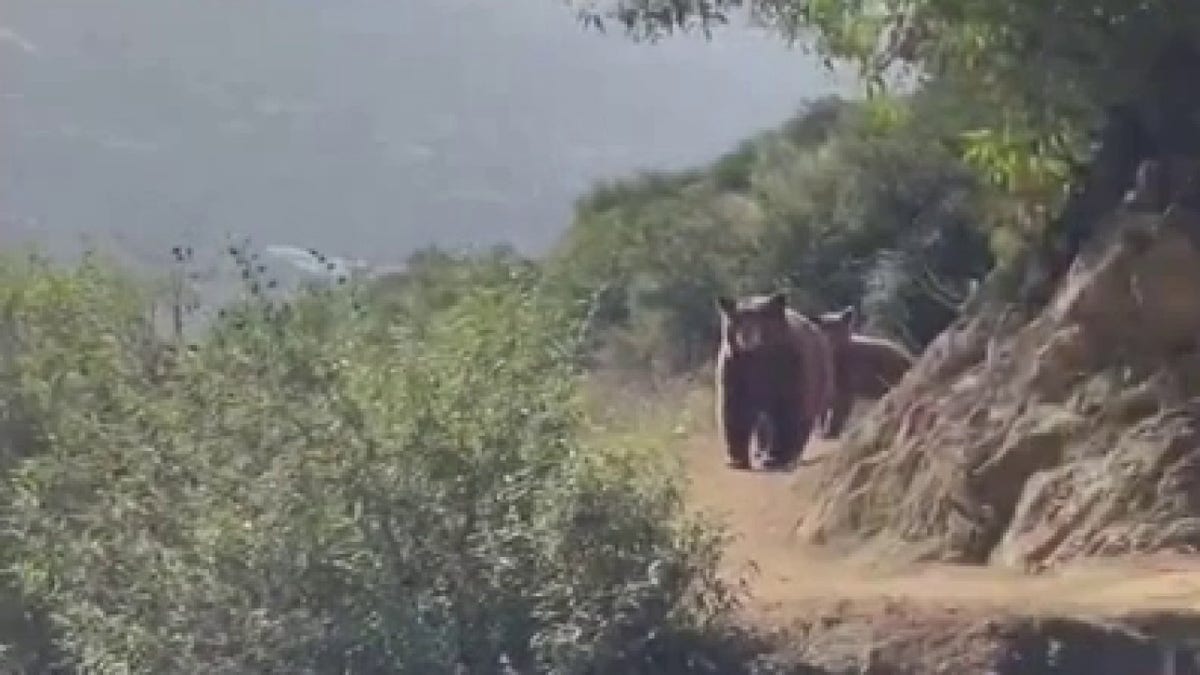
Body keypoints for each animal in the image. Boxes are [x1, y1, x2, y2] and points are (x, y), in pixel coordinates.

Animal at [710, 291, 835, 470]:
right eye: (738, 320)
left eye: (761, 319)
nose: (748, 338)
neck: (760, 356)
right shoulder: (735, 368)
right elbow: (734, 410)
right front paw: (737, 459)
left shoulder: (789, 368)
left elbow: (788, 412)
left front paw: (775, 458)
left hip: (819, 380)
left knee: (803, 419)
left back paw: (789, 455)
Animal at [816, 303, 916, 437]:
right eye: (825, 329)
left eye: (838, 329)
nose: (830, 339)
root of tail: (909, 358)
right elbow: (824, 413)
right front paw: (822, 430)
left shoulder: (846, 391)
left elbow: (838, 414)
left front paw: (831, 432)